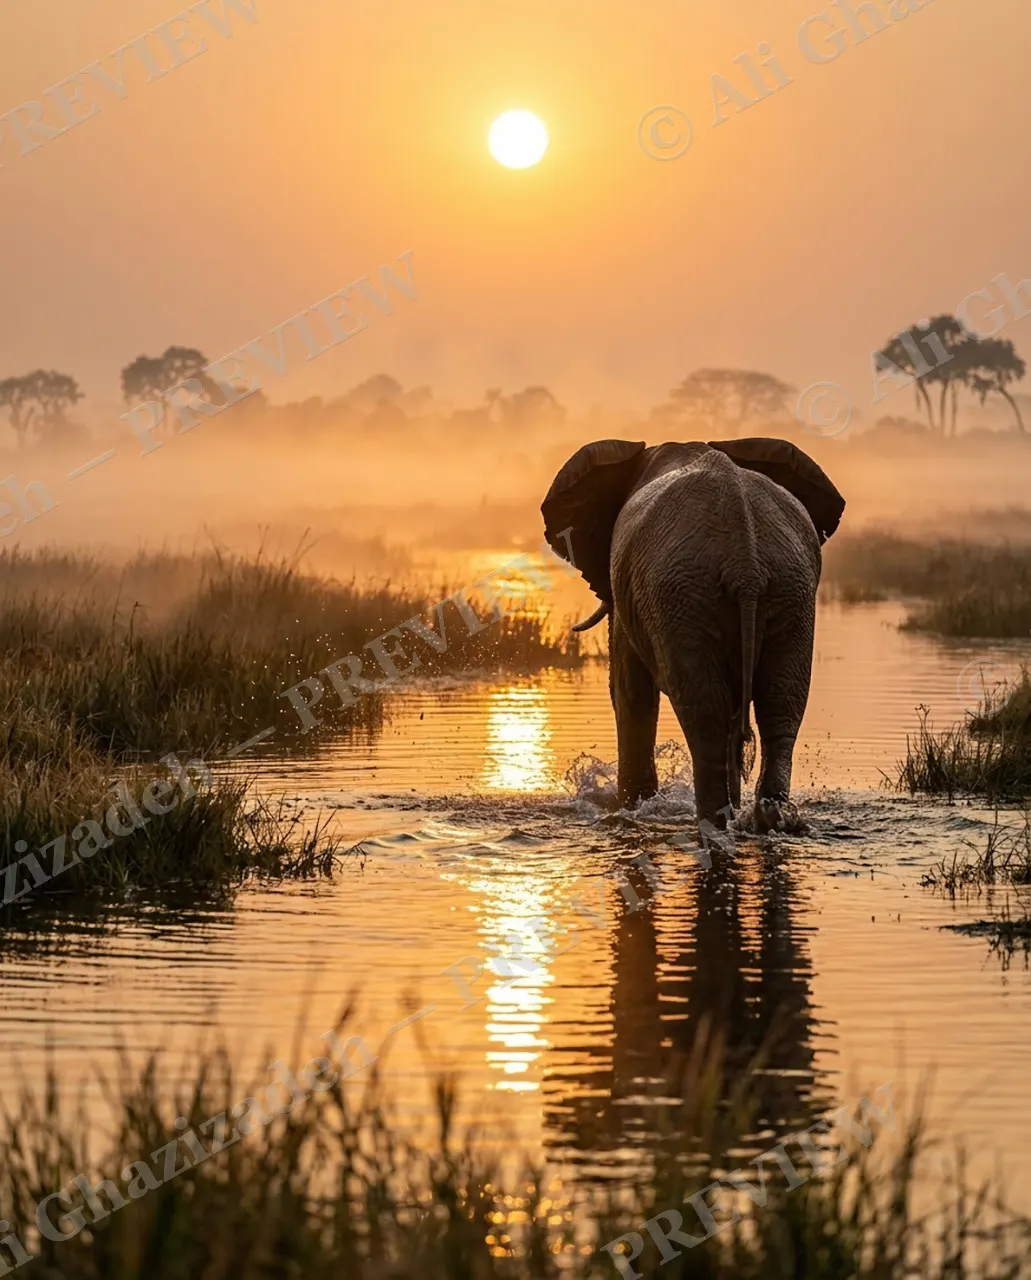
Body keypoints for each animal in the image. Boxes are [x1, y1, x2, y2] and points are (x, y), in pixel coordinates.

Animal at [540, 437, 845, 834]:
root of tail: (745, 563)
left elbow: (628, 689)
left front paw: (631, 808)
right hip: (788, 591)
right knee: (781, 703)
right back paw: (768, 821)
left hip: (681, 593)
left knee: (706, 714)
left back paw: (713, 822)